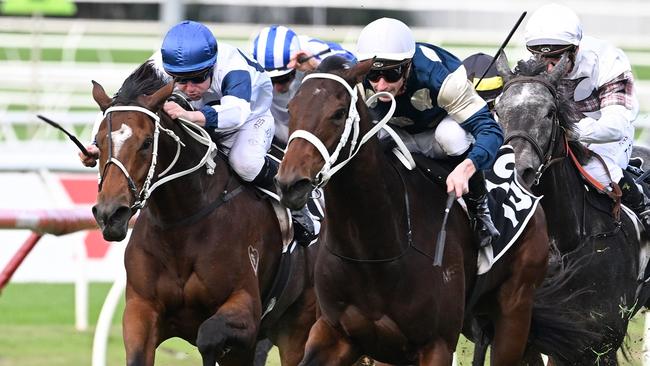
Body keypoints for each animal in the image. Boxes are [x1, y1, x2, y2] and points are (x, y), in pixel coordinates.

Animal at [88, 61, 316, 364]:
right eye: (99, 141)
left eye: (147, 142)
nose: (110, 213)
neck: (180, 227)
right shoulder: (141, 309)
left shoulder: (246, 310)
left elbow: (207, 336)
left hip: (299, 324)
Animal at [274, 58, 548, 364]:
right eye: (291, 108)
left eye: (338, 113)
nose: (291, 184)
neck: (373, 253)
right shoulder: (334, 334)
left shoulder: (437, 344)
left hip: (515, 310)